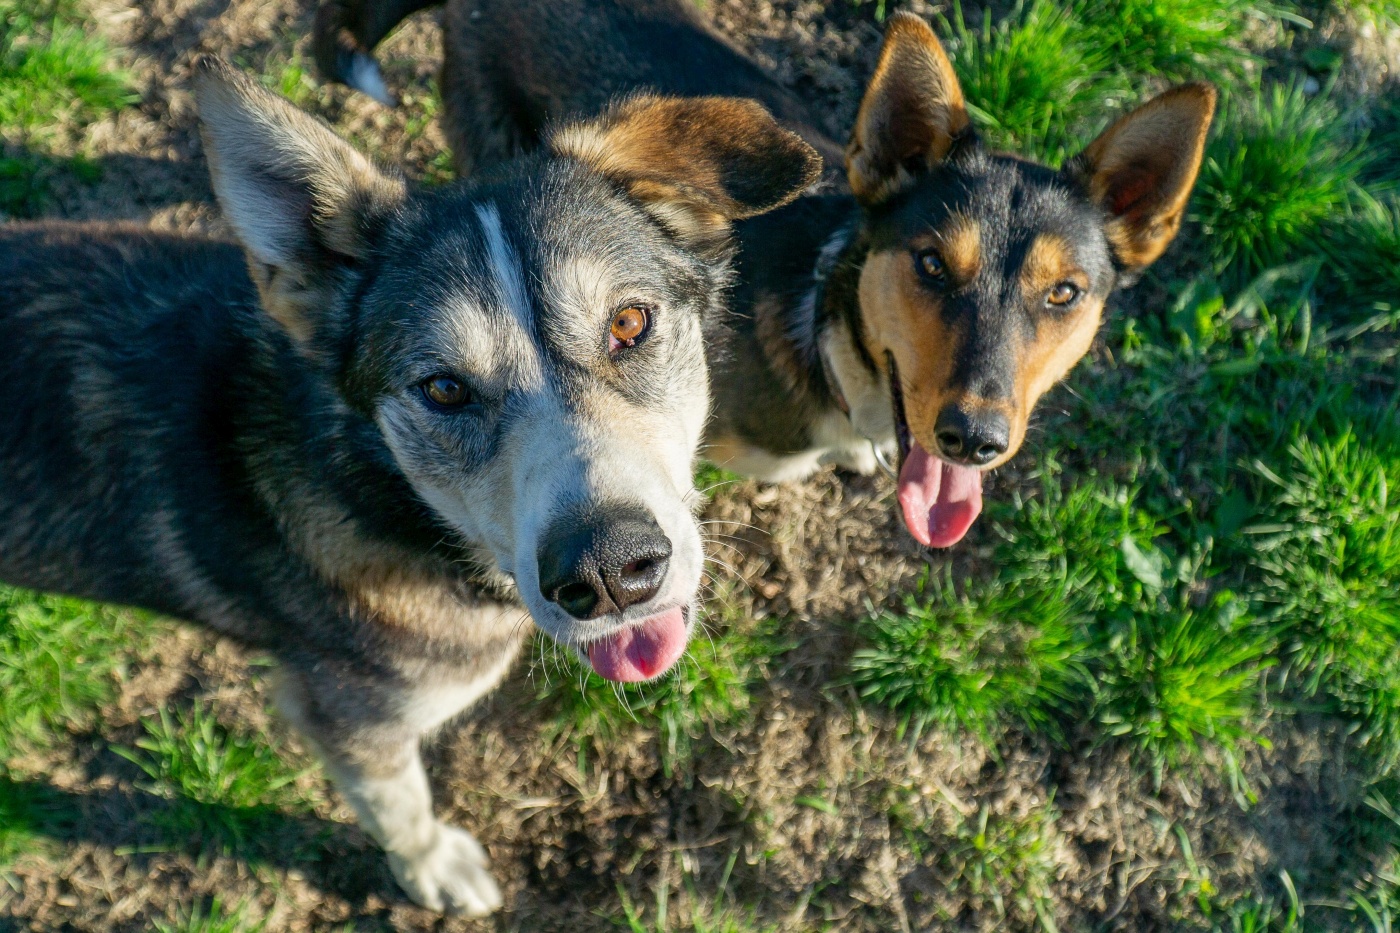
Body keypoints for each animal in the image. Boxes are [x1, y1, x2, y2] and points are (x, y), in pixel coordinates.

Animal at [0, 59, 817, 913]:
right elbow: (399, 805)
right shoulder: (352, 716)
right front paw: (434, 867)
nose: (609, 572)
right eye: (444, 389)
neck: (370, 478)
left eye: (629, 323)